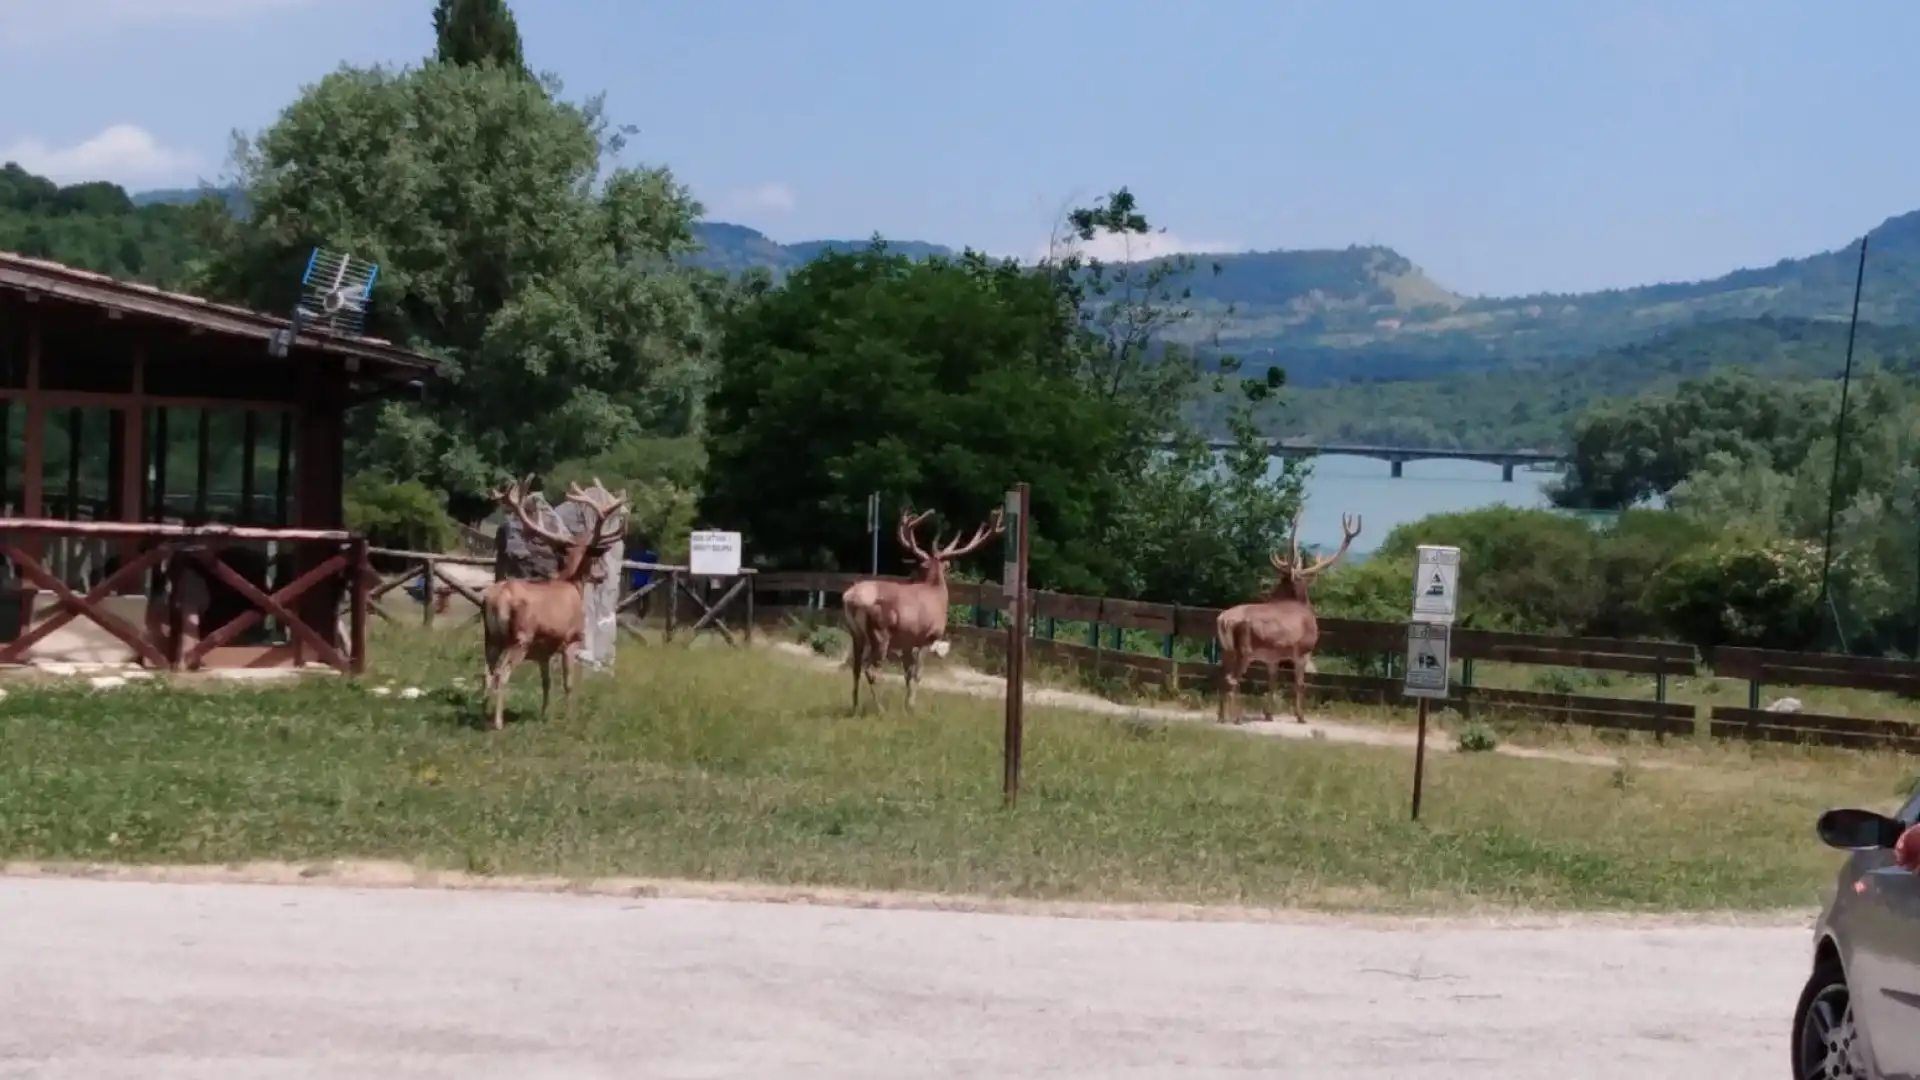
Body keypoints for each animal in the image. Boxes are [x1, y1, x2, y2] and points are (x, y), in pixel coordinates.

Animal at [483, 474, 633, 726]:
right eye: (596, 559)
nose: (602, 575)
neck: (572, 584)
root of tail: (497, 599)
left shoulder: (543, 650)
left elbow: (547, 683)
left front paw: (546, 715)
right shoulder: (571, 639)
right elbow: (568, 682)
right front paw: (570, 717)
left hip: (490, 637)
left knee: (486, 672)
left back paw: (482, 710)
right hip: (520, 638)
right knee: (501, 673)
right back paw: (497, 722)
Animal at [848, 507, 1013, 711]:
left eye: (920, 566)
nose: (910, 576)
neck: (936, 592)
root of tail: (852, 598)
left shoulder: (907, 641)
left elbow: (907, 673)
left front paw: (906, 704)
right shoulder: (927, 637)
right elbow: (917, 673)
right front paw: (912, 706)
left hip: (856, 634)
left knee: (855, 667)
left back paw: (855, 706)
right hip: (880, 633)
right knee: (870, 670)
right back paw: (880, 709)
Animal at [1213, 507, 1367, 722]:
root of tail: (1224, 620)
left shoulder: (1273, 657)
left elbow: (1272, 682)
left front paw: (1269, 714)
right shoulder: (1303, 650)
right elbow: (1300, 684)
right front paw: (1301, 716)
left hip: (1226, 649)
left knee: (1222, 677)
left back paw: (1221, 716)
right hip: (1245, 650)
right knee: (1232, 679)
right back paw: (1236, 718)